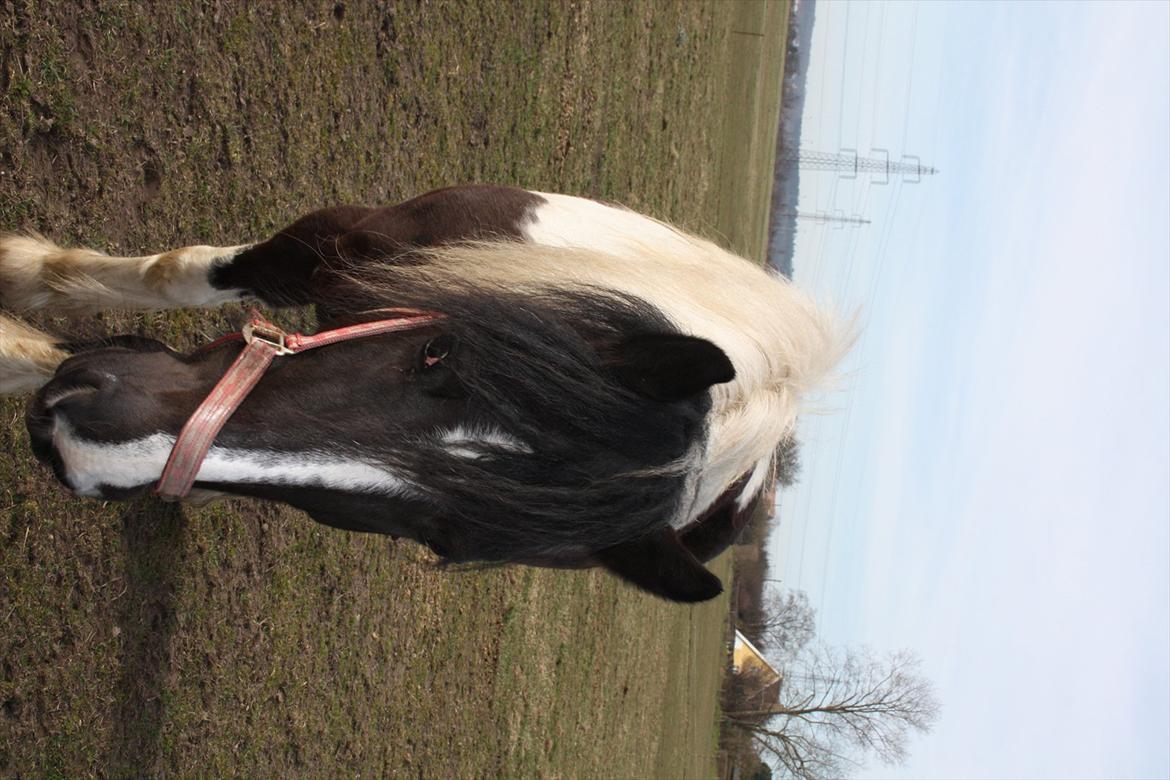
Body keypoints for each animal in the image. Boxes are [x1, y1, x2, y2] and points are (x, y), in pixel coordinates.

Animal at [0, 187, 847, 603]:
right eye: (439, 353)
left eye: (444, 535)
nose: (88, 446)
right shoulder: (333, 241)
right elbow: (184, 273)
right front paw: (29, 284)